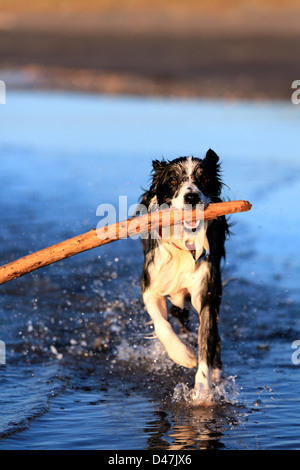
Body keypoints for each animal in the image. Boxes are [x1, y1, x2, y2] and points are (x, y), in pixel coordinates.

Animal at [139, 151, 229, 392]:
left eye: (204, 179)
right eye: (172, 181)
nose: (191, 198)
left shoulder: (206, 290)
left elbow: (206, 340)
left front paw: (202, 391)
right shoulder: (152, 283)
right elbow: (161, 323)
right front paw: (183, 355)